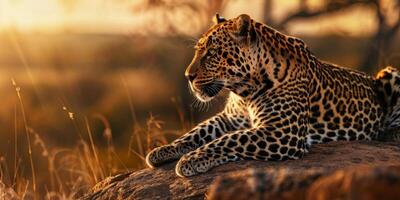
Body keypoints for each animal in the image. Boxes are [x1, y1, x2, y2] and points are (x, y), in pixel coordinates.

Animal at [145, 13, 400, 177]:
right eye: (199, 51)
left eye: (212, 53)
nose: (187, 76)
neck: (244, 91)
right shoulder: (229, 119)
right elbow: (197, 132)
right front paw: (162, 151)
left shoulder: (281, 132)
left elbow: (230, 139)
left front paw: (191, 160)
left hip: (390, 72)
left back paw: (387, 133)